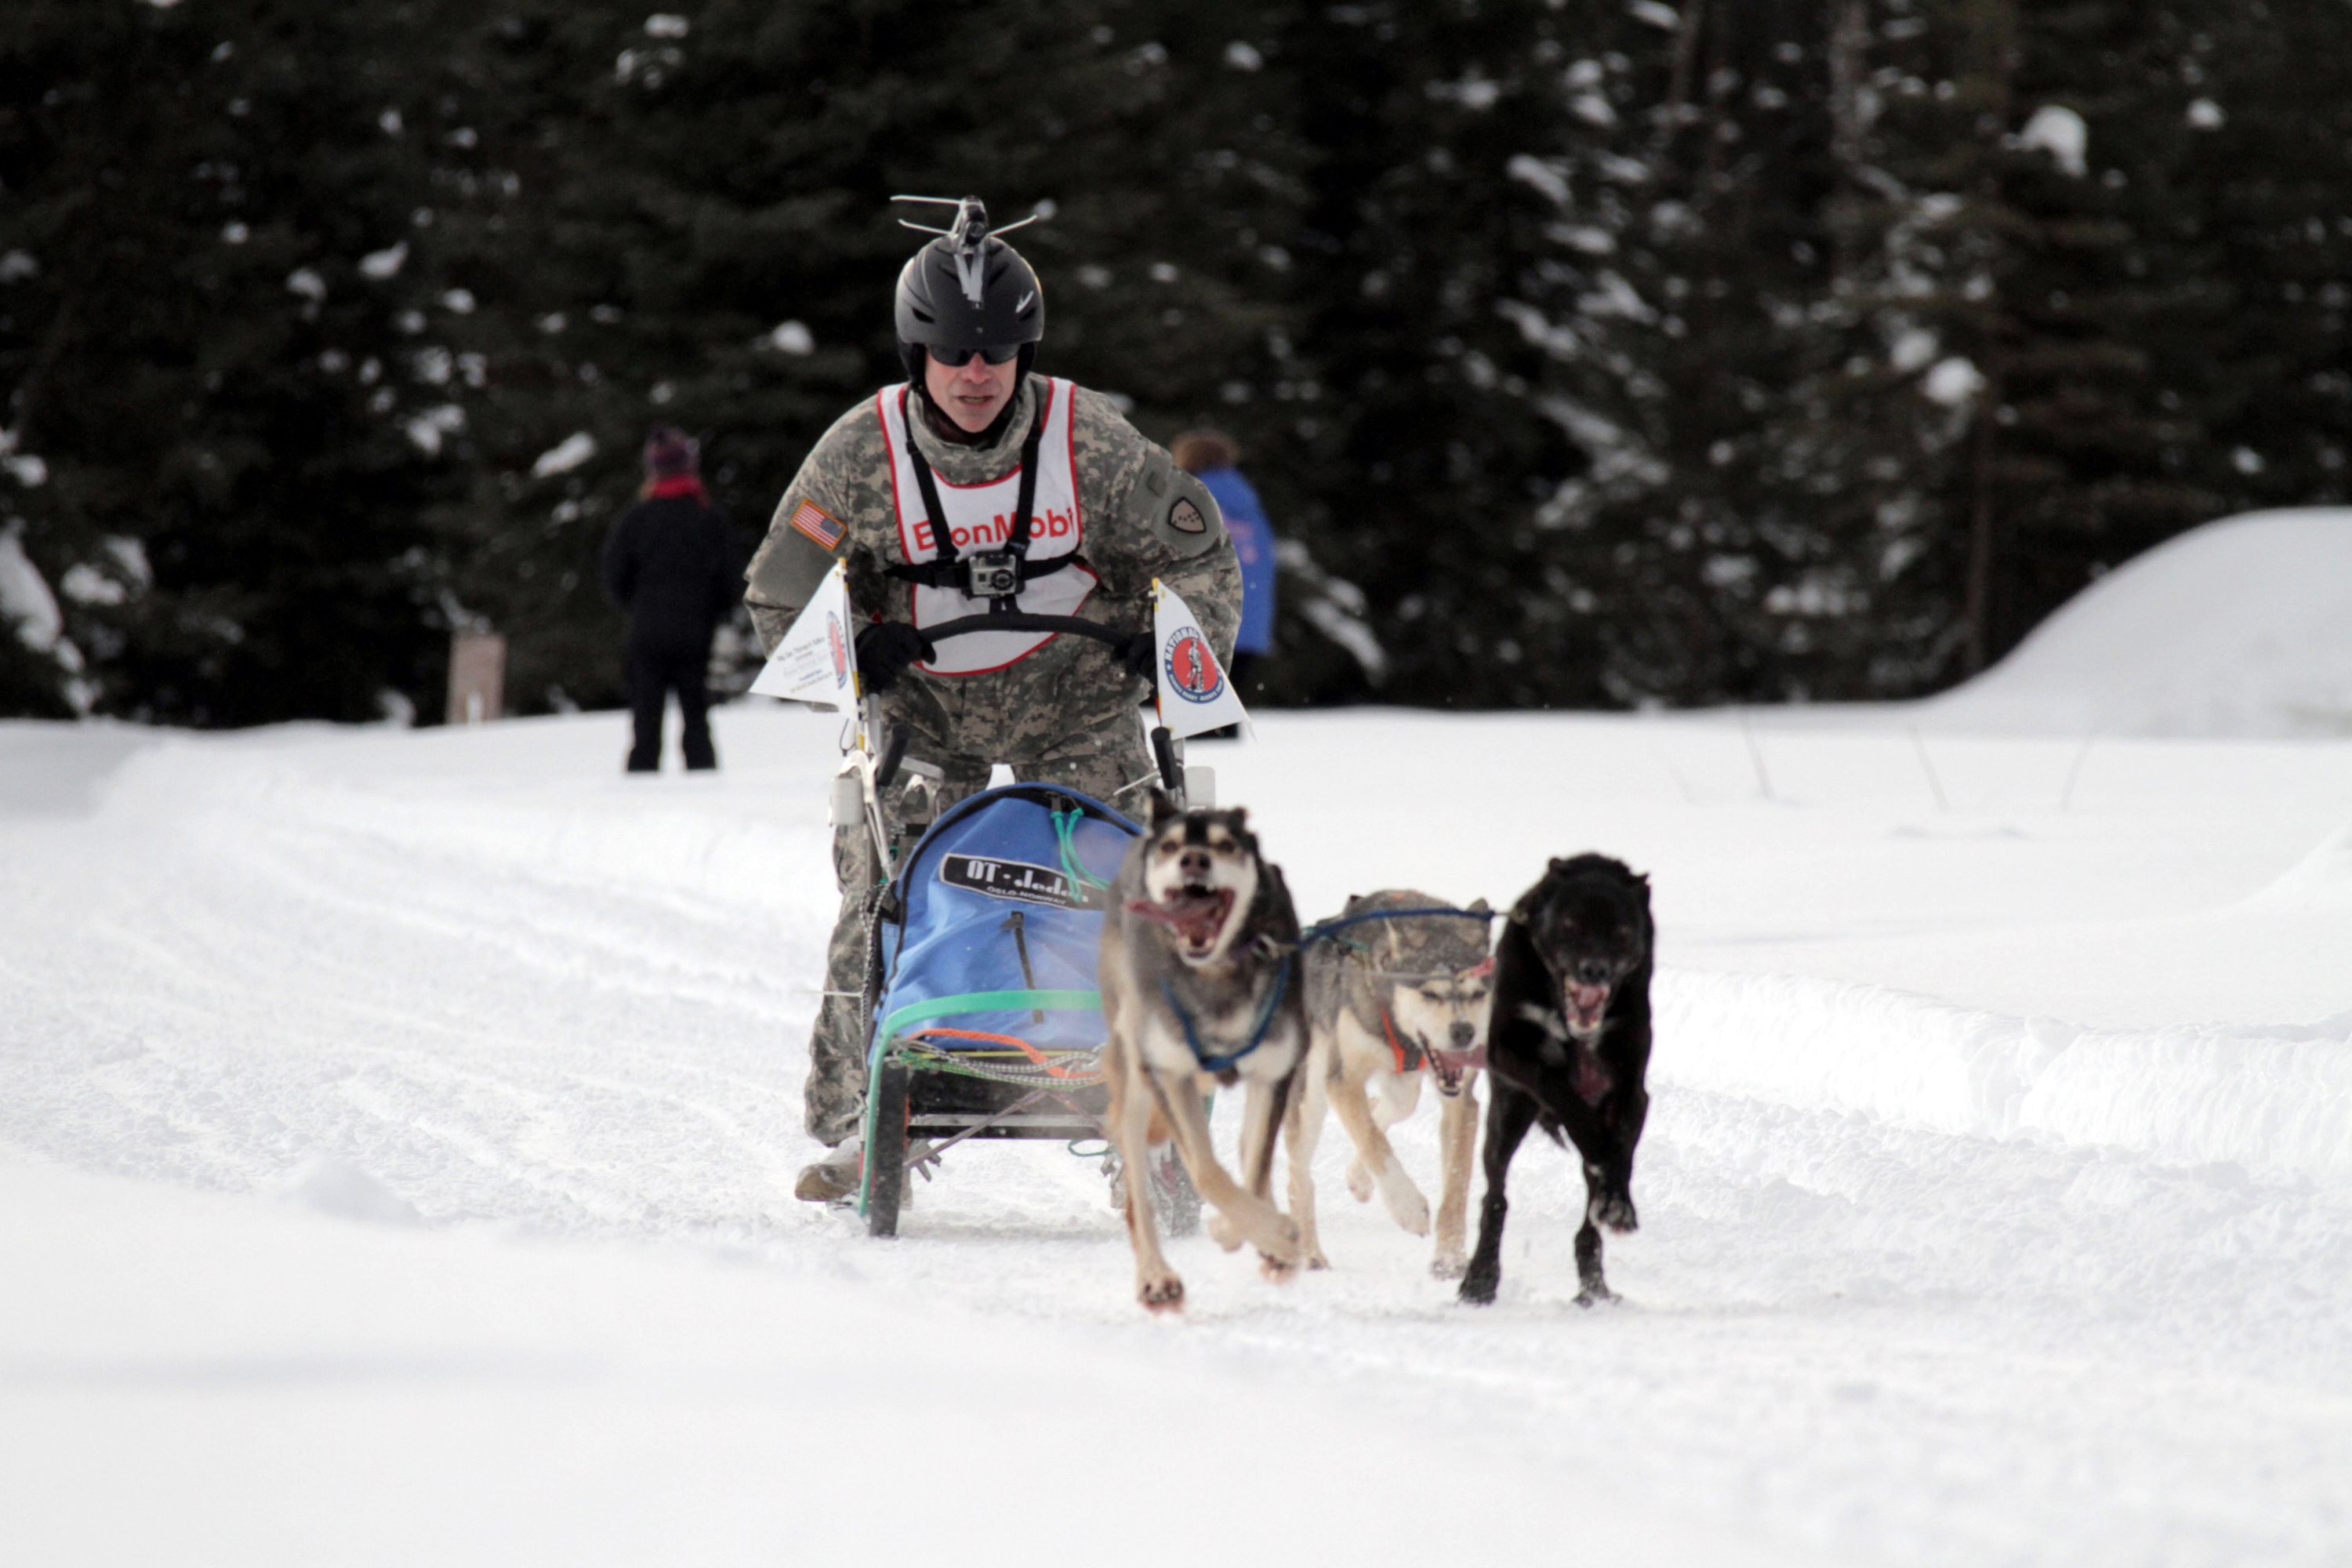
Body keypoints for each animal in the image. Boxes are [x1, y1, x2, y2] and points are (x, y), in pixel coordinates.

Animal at [1096, 799, 1317, 1316]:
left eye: (1225, 844)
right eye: (1173, 845)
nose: (1194, 859)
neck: (1215, 975)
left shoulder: (1274, 1073)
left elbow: (1254, 1168)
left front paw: (1266, 1238)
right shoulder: (1168, 1074)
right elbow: (1206, 1172)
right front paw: (1260, 1230)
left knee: (1248, 1154)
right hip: (1136, 1077)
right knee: (1139, 1192)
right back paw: (1156, 1278)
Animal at [1289, 893, 1486, 1279]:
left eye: (1477, 994)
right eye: (1431, 994)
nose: (1464, 1032)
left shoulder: (1462, 1101)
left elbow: (1455, 1186)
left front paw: (1450, 1258)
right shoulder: (1343, 1081)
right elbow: (1373, 1144)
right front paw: (1408, 1209)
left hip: (1402, 1088)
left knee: (1392, 1107)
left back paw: (1359, 1177)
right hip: (1312, 1093)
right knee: (1299, 1174)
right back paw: (1308, 1254)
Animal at [1449, 851, 1656, 1307]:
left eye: (1621, 932)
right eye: (1571, 926)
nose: (1594, 970)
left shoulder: (1630, 1089)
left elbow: (1620, 1151)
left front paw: (1618, 1202)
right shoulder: (1510, 1053)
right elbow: (1562, 1094)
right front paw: (1593, 1140)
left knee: (1587, 1226)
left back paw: (1595, 1285)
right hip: (1505, 1117)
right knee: (1495, 1198)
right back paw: (1481, 1278)